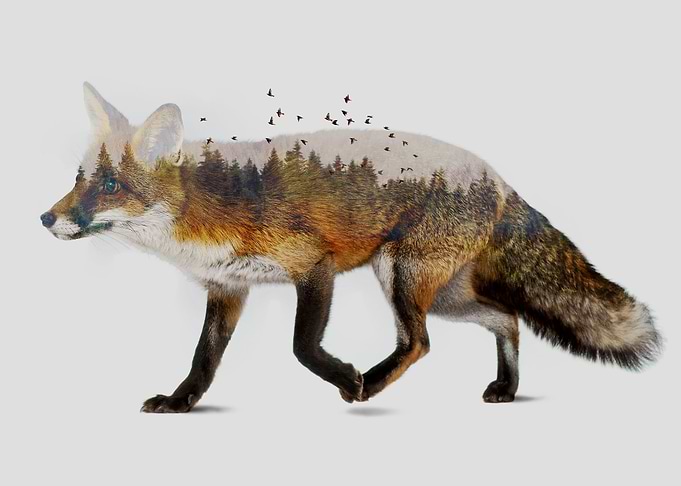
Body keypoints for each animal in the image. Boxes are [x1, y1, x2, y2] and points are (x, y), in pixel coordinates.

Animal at [41, 82, 662, 412]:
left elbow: (302, 346)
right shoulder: (228, 287)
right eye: (78, 179)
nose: (46, 218)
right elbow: (203, 360)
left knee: (420, 342)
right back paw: (507, 388)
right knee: (506, 318)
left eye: (109, 186)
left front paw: (345, 377)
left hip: (400, 275)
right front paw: (180, 403)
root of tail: (497, 178)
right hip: (446, 294)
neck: (205, 214)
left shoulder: (316, 265)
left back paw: (374, 382)